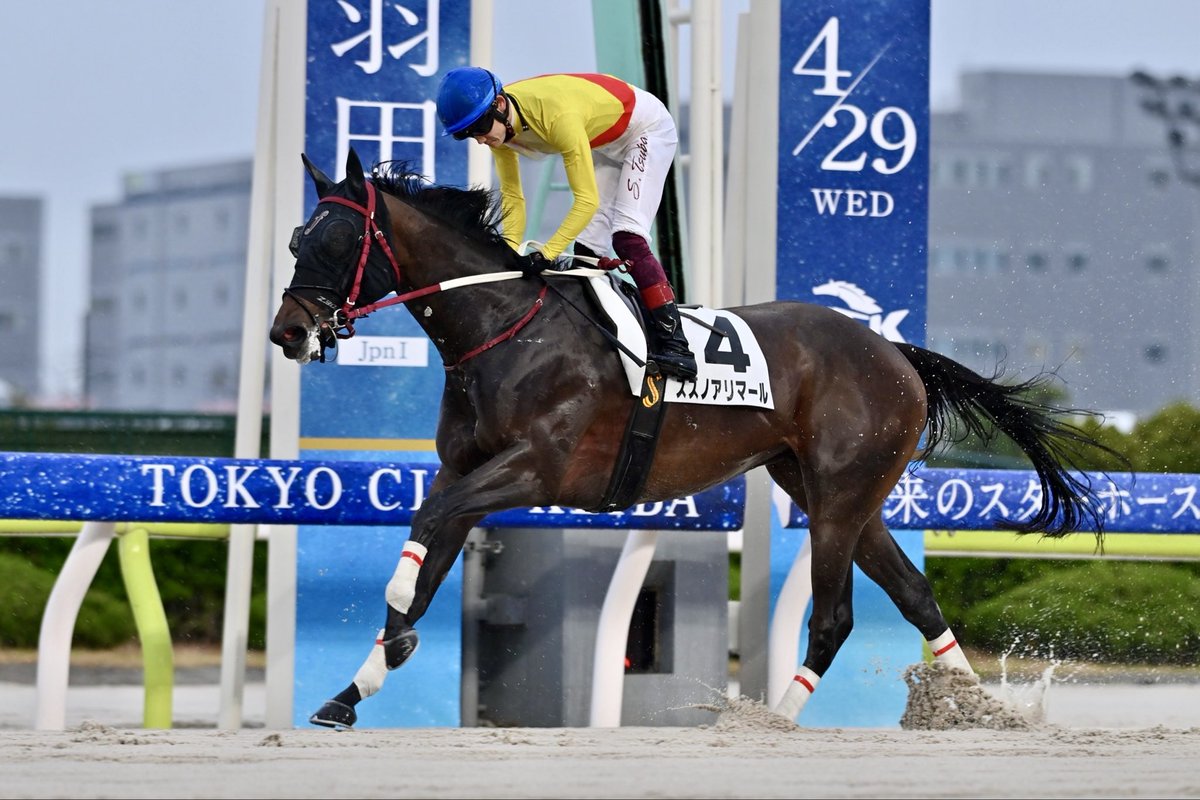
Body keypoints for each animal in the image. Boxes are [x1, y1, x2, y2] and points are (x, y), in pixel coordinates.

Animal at [270, 147, 1115, 728]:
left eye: (338, 242)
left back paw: (770, 722)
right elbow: (428, 546)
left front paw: (392, 639)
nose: (287, 333)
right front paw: (353, 689)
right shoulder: (466, 470)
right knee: (913, 594)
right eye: (295, 240)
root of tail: (894, 352)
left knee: (835, 616)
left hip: (840, 495)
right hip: (831, 491)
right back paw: (982, 713)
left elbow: (426, 532)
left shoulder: (537, 469)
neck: (505, 326)